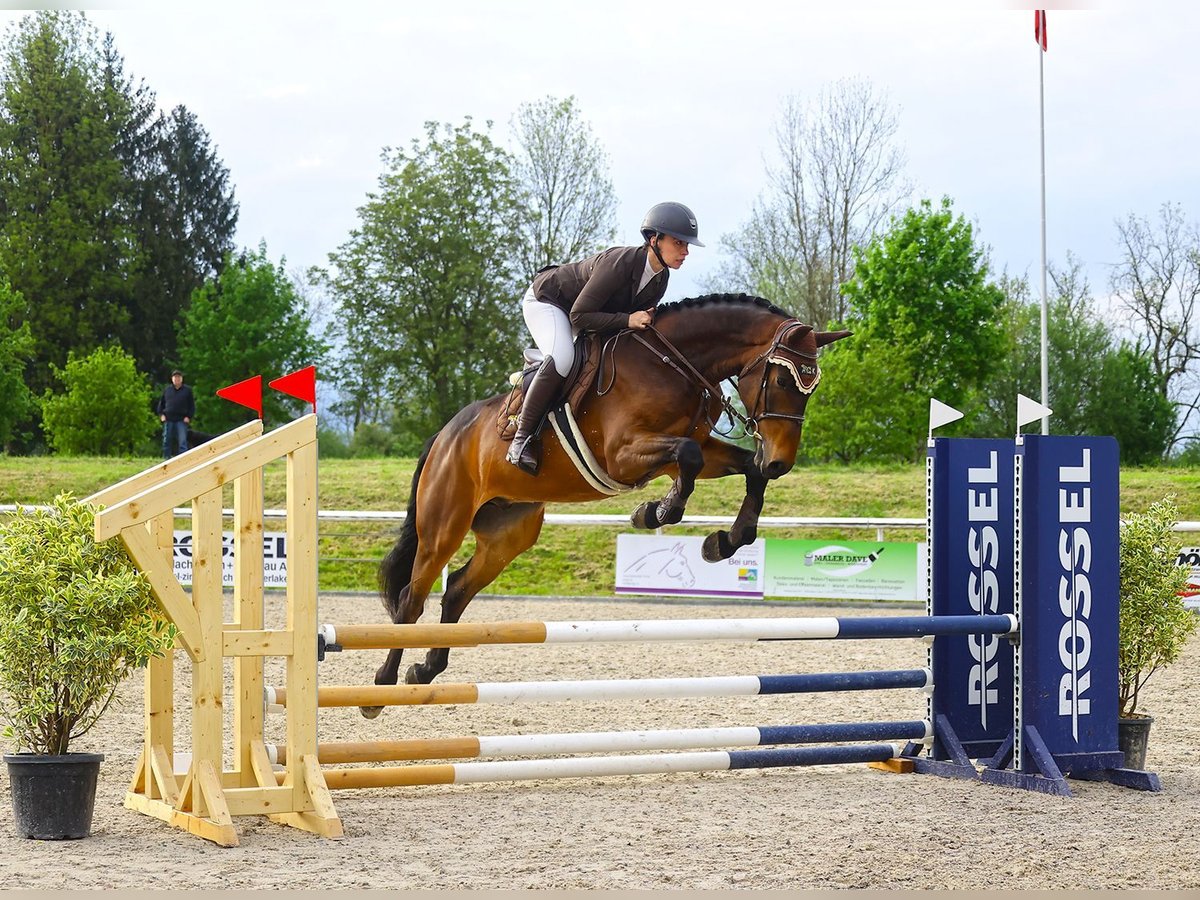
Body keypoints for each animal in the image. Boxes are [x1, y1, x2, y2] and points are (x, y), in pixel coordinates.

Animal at [360, 296, 849, 720]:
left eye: (812, 388)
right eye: (784, 381)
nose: (781, 461)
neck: (677, 364)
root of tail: (446, 434)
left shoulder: (693, 451)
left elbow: (743, 470)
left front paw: (721, 542)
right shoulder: (625, 453)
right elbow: (688, 458)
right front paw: (655, 512)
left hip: (509, 532)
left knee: (458, 589)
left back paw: (425, 670)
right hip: (445, 523)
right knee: (412, 599)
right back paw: (380, 689)